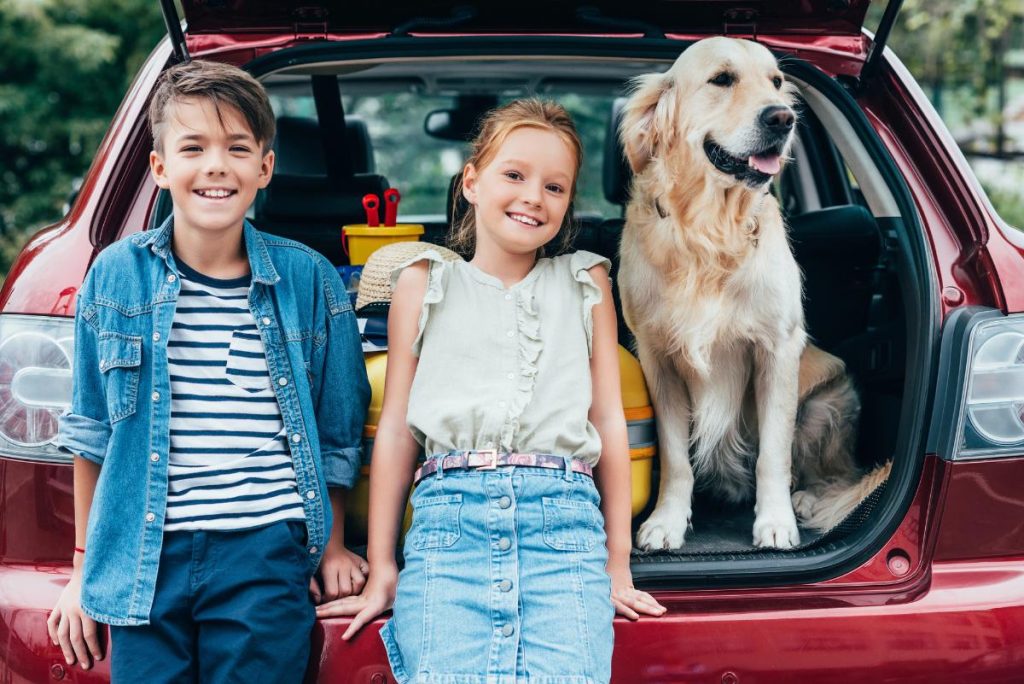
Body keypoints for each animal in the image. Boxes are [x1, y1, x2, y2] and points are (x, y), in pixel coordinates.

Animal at [614, 36, 888, 548]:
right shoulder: (657, 357)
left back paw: (808, 499)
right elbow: (676, 457)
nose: (782, 118)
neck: (708, 231)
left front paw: (776, 522)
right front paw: (666, 521)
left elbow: (773, 456)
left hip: (828, 401)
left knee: (835, 474)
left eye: (777, 82)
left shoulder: (776, 349)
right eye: (722, 79)